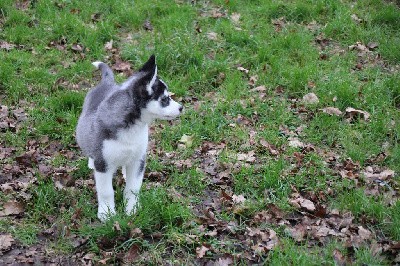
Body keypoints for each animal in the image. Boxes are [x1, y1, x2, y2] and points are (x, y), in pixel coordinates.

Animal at [76, 55, 183, 221]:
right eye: (165, 99)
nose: (181, 108)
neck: (133, 126)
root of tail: (107, 83)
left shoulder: (139, 158)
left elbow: (133, 188)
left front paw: (131, 209)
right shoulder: (103, 163)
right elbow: (106, 191)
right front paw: (107, 213)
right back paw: (91, 162)